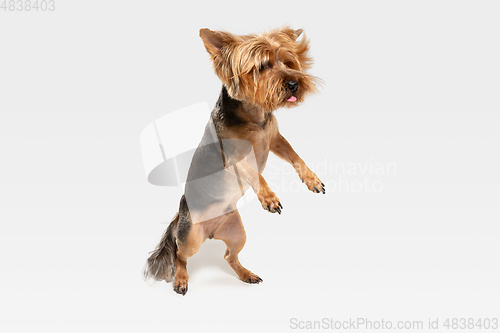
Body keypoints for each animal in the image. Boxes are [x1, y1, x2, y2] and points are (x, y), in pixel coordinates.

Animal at [145, 26, 324, 296]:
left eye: (289, 62)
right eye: (262, 66)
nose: (294, 83)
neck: (254, 116)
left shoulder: (275, 139)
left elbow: (295, 156)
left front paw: (311, 179)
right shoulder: (234, 158)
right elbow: (255, 174)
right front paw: (269, 197)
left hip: (237, 231)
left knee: (229, 255)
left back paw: (246, 274)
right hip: (191, 236)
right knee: (180, 254)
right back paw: (181, 279)